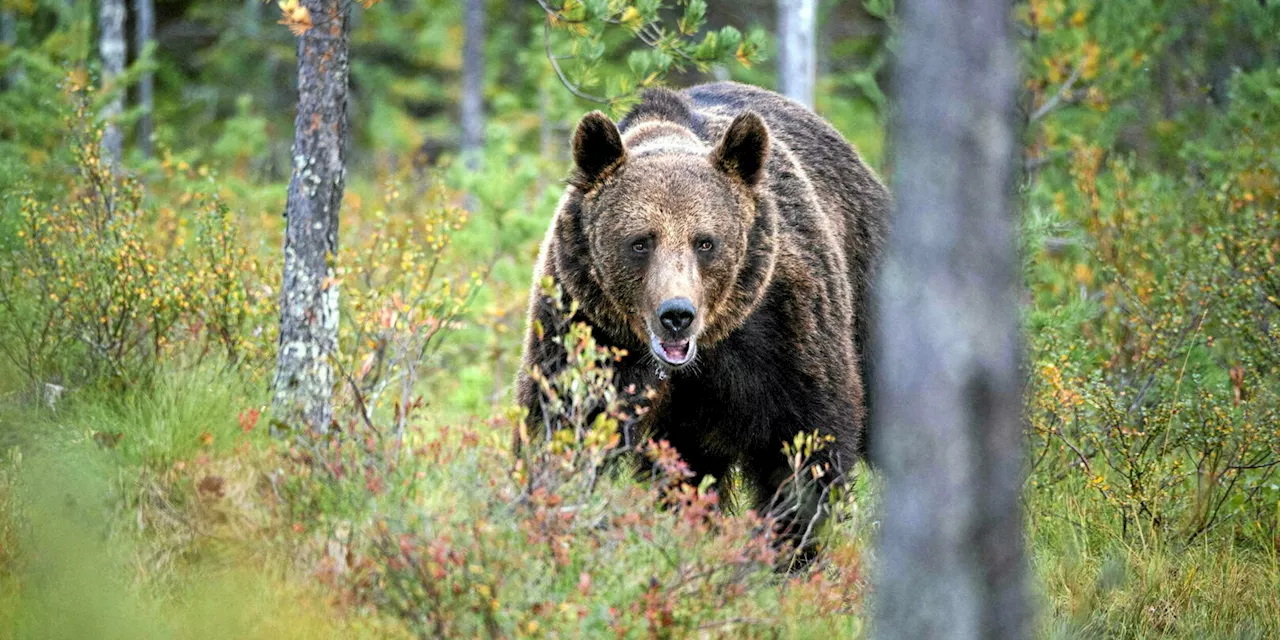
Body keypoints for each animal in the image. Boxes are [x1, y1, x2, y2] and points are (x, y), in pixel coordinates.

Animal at [514, 80, 885, 547]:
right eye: (640, 242)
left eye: (705, 241)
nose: (677, 314)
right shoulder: (585, 326)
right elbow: (563, 423)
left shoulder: (782, 329)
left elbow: (804, 443)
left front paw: (789, 545)